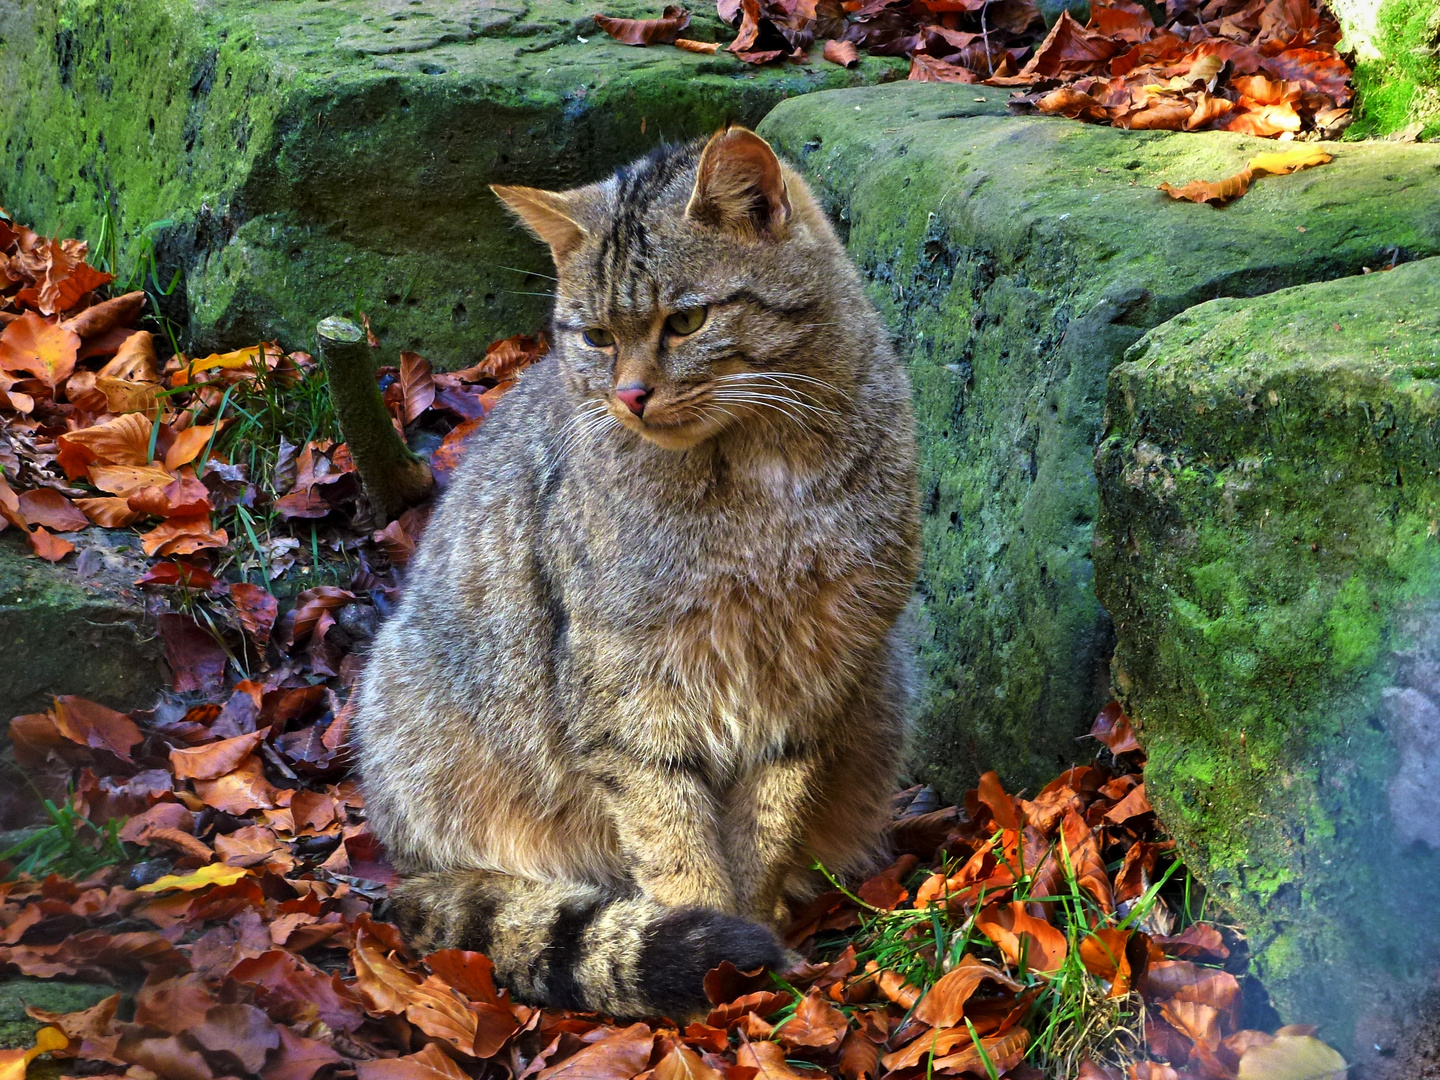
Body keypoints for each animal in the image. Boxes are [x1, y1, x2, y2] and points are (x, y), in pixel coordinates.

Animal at [358, 126, 921, 1025]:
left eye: (685, 321)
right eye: (593, 337)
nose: (629, 395)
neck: (753, 479)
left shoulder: (812, 679)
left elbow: (766, 828)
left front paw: (754, 933)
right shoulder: (630, 698)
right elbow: (674, 840)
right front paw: (718, 956)